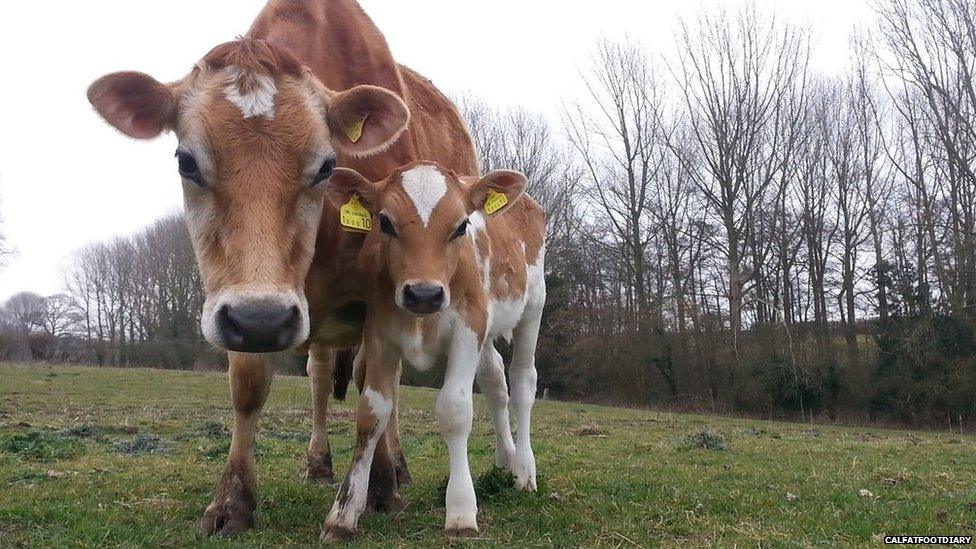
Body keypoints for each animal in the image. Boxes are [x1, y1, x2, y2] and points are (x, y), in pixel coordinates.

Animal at [86, 0, 476, 536]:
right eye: (186, 161)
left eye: (327, 165)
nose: (263, 320)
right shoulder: (236, 301)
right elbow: (250, 386)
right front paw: (232, 501)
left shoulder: (383, 300)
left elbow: (373, 388)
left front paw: (380, 488)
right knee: (318, 375)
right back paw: (318, 463)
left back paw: (396, 468)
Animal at [322, 164, 544, 540]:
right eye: (384, 222)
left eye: (461, 226)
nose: (423, 293)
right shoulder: (379, 333)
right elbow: (371, 414)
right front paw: (343, 513)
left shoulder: (468, 328)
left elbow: (455, 410)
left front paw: (461, 511)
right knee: (495, 382)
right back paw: (506, 458)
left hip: (532, 306)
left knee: (523, 382)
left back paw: (525, 469)